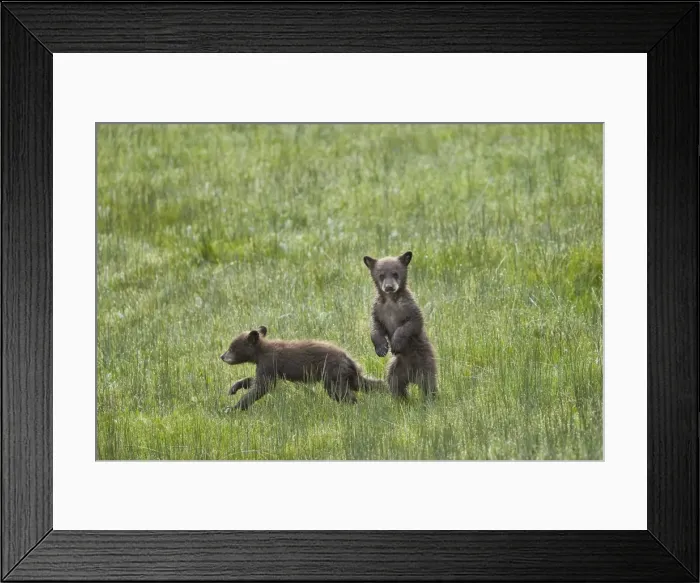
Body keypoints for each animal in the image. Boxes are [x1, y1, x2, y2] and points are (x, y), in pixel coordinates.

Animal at [220, 326, 386, 410]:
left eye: (232, 348)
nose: (222, 356)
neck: (260, 351)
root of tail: (347, 357)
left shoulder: (269, 362)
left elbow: (263, 386)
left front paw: (233, 408)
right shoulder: (268, 367)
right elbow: (256, 380)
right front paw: (235, 387)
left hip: (332, 372)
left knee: (339, 392)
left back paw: (353, 406)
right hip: (347, 375)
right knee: (363, 384)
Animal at [362, 251, 437, 400]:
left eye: (395, 273)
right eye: (381, 275)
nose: (389, 287)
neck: (391, 301)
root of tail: (412, 377)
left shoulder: (409, 307)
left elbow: (412, 324)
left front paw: (396, 344)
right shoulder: (378, 309)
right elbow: (375, 327)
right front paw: (381, 348)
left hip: (425, 362)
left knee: (428, 384)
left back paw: (430, 399)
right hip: (396, 368)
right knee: (395, 383)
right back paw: (401, 399)